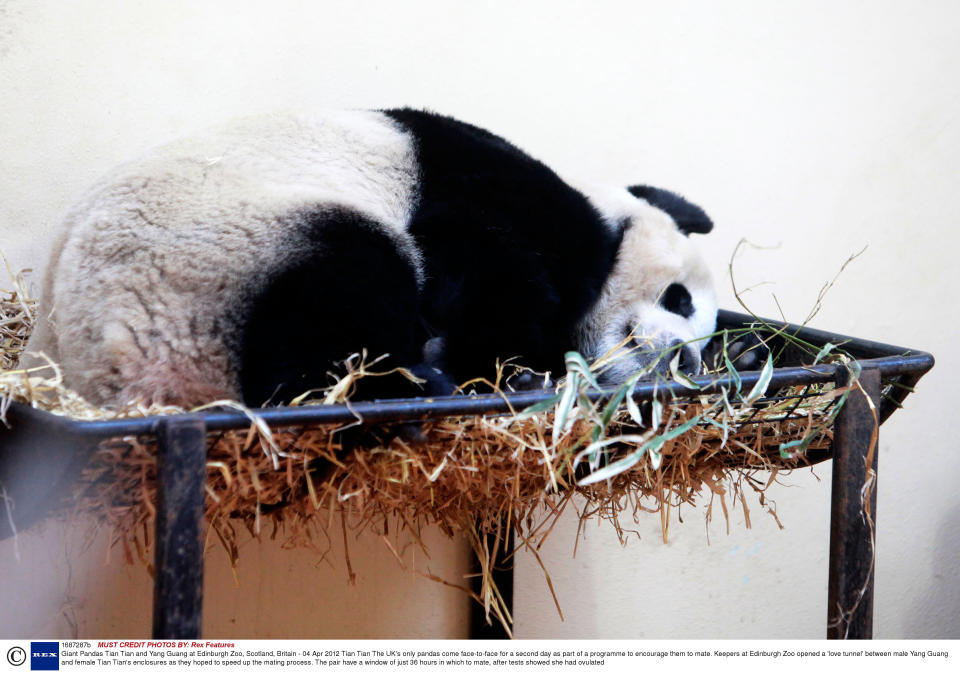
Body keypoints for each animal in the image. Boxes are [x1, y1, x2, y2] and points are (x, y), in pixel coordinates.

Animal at [26, 109, 716, 406]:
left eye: (709, 339)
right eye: (679, 298)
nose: (684, 359)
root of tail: (89, 369)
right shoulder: (486, 194)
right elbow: (484, 268)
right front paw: (513, 367)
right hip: (213, 258)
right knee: (339, 291)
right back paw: (408, 381)